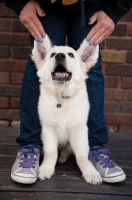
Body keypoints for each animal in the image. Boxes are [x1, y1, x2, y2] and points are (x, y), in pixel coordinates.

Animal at [31, 35, 101, 185]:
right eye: (52, 55)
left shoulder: (79, 129)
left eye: (71, 55)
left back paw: (63, 156)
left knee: (68, 149)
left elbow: (82, 154)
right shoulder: (48, 128)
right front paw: (46, 169)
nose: (60, 56)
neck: (61, 97)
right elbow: (51, 152)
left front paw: (90, 172)